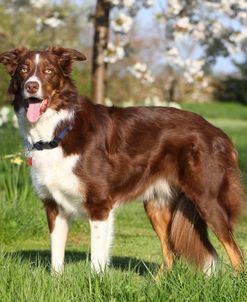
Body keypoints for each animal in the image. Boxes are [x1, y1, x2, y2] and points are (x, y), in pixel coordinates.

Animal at [0, 46, 244, 274]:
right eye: (23, 70)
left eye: (49, 71)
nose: (32, 86)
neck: (57, 132)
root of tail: (218, 132)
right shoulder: (54, 206)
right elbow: (56, 258)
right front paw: (57, 281)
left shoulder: (99, 205)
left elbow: (97, 259)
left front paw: (95, 283)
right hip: (156, 205)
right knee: (169, 255)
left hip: (208, 200)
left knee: (236, 253)